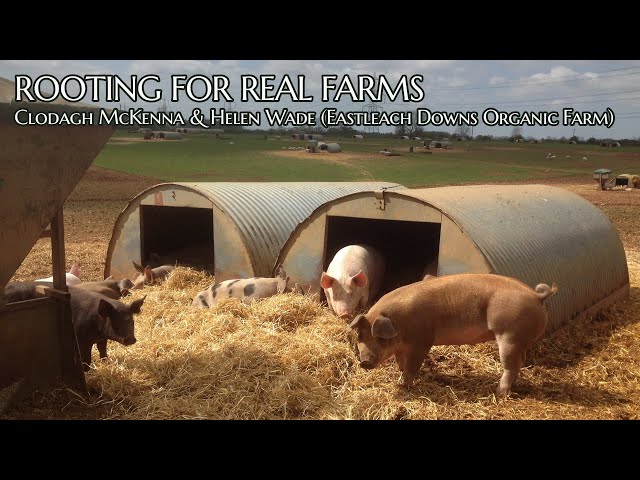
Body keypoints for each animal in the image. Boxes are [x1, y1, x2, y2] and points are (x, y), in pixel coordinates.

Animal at [348, 274, 556, 398]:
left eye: (381, 338)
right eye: (360, 336)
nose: (364, 362)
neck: (400, 324)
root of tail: (537, 296)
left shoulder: (422, 341)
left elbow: (412, 366)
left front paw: (402, 385)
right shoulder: (401, 347)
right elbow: (401, 362)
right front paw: (399, 375)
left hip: (509, 336)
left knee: (511, 366)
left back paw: (499, 393)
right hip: (521, 340)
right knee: (520, 362)